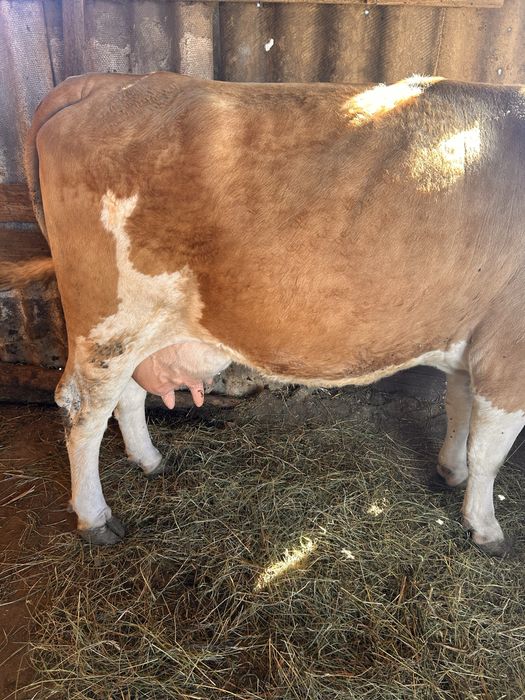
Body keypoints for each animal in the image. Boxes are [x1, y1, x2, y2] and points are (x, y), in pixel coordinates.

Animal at [5, 71, 525, 555]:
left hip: (137, 328)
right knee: (83, 411)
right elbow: (488, 452)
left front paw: (451, 472)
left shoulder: (474, 341)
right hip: (110, 322)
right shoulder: (508, 355)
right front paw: (485, 526)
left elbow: (458, 410)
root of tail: (106, 82)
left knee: (126, 395)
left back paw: (148, 459)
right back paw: (95, 517)